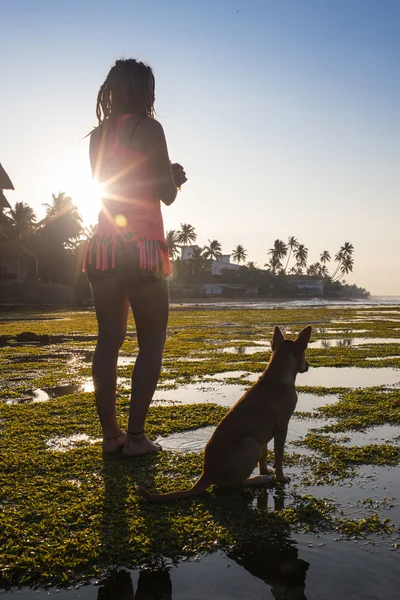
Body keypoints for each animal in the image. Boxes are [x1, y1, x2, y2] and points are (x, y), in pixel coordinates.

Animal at [136, 326, 310, 500]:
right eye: (304, 353)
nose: (308, 365)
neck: (278, 374)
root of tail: (207, 475)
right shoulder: (281, 427)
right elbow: (279, 456)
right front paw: (280, 477)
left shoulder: (263, 435)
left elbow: (264, 455)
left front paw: (265, 470)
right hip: (250, 443)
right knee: (236, 484)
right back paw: (259, 479)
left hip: (254, 441)